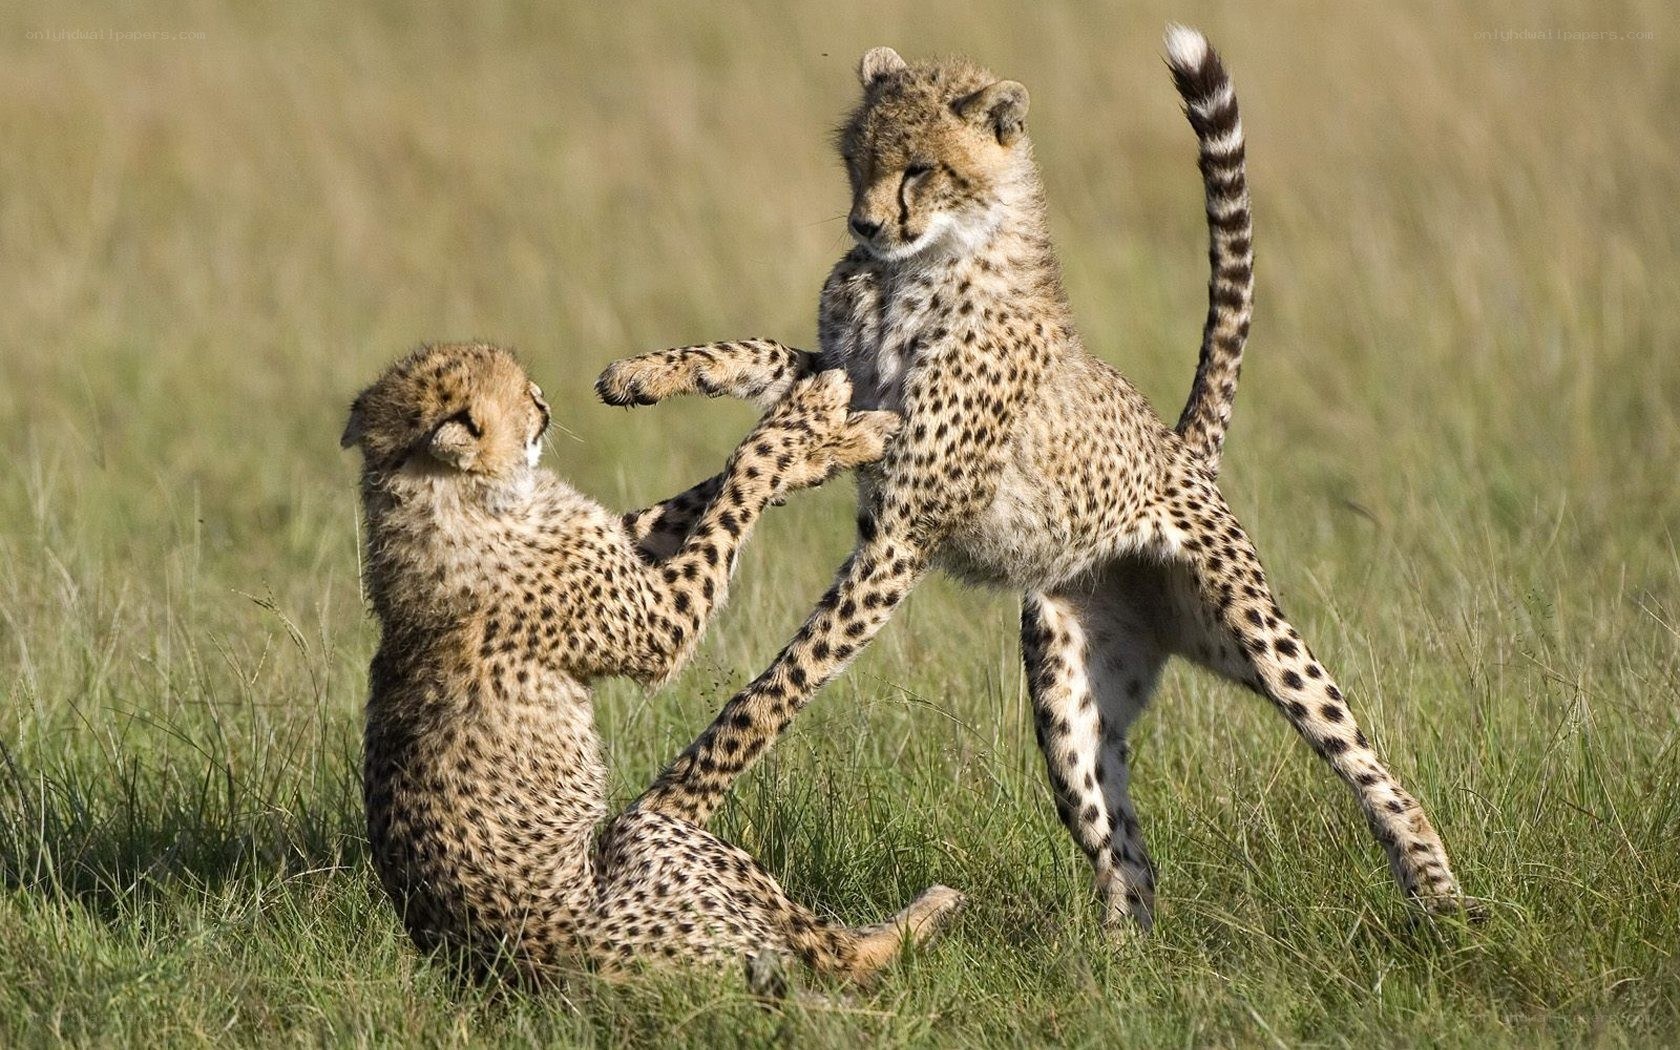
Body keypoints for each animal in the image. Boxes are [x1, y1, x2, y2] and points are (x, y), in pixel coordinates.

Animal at [340, 341, 962, 988]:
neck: (445, 498)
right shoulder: (661, 621)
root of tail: (514, 969)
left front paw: (831, 442)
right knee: (833, 953)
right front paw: (808, 418)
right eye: (517, 395)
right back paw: (927, 913)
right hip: (656, 840)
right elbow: (745, 471)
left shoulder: (620, 541)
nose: (543, 400)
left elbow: (691, 496)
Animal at [595, 25, 1472, 933]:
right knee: (1126, 853)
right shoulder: (849, 381)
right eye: (856, 159)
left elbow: (777, 685)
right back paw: (1114, 959)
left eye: (919, 167)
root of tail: (1179, 449)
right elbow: (765, 369)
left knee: (1358, 754)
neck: (919, 266)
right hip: (1067, 693)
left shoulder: (908, 523)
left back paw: (1440, 897)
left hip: (1251, 632)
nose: (864, 223)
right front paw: (649, 376)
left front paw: (671, 806)